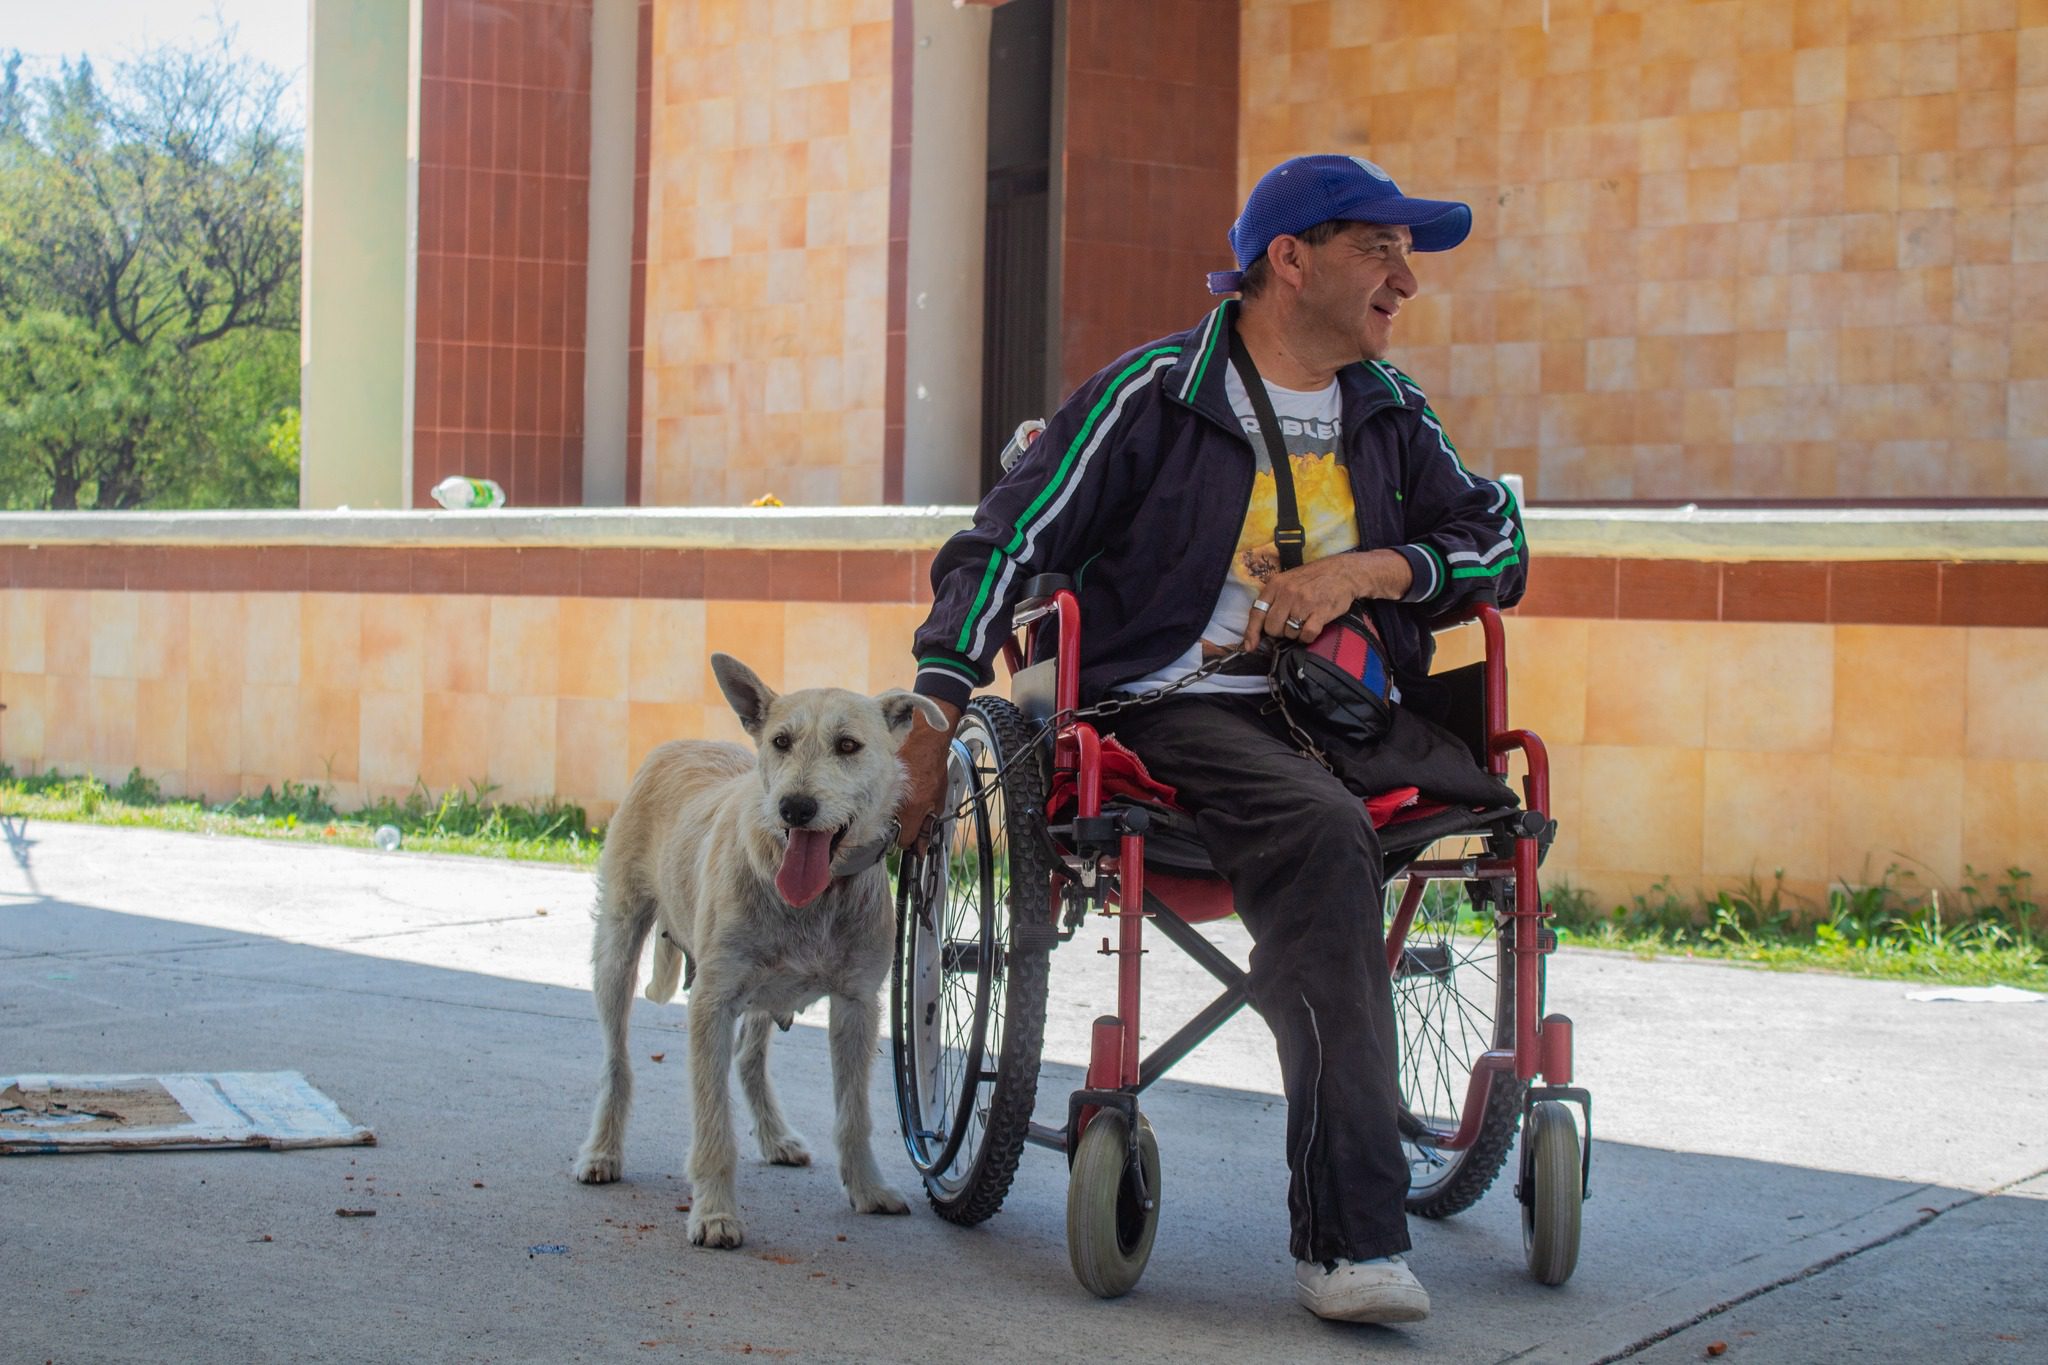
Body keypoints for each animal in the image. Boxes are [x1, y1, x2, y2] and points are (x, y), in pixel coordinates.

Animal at [565, 650, 937, 1252]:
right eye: (781, 741)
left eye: (849, 745)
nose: (795, 807)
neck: (813, 896)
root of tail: (680, 743)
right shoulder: (711, 1003)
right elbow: (713, 1124)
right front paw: (715, 1213)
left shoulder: (858, 1006)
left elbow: (853, 1114)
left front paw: (867, 1188)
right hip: (618, 946)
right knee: (616, 1062)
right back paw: (601, 1152)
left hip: (766, 989)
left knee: (749, 1058)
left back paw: (776, 1137)